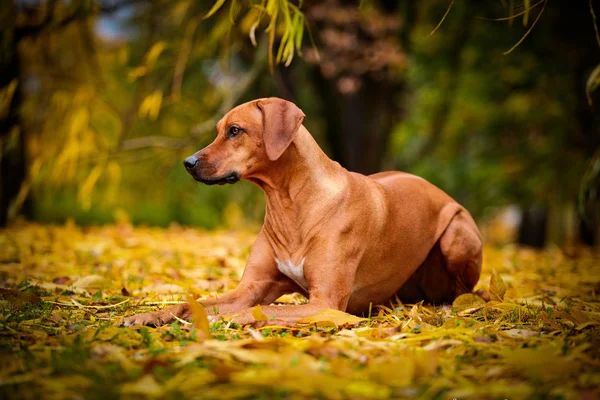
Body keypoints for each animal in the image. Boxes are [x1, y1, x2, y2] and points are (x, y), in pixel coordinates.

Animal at [123, 97, 482, 328]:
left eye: (235, 131)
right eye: (218, 130)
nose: (188, 163)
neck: (290, 204)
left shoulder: (324, 303)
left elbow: (264, 311)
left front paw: (216, 319)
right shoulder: (252, 288)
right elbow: (193, 301)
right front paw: (147, 315)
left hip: (457, 235)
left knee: (465, 291)